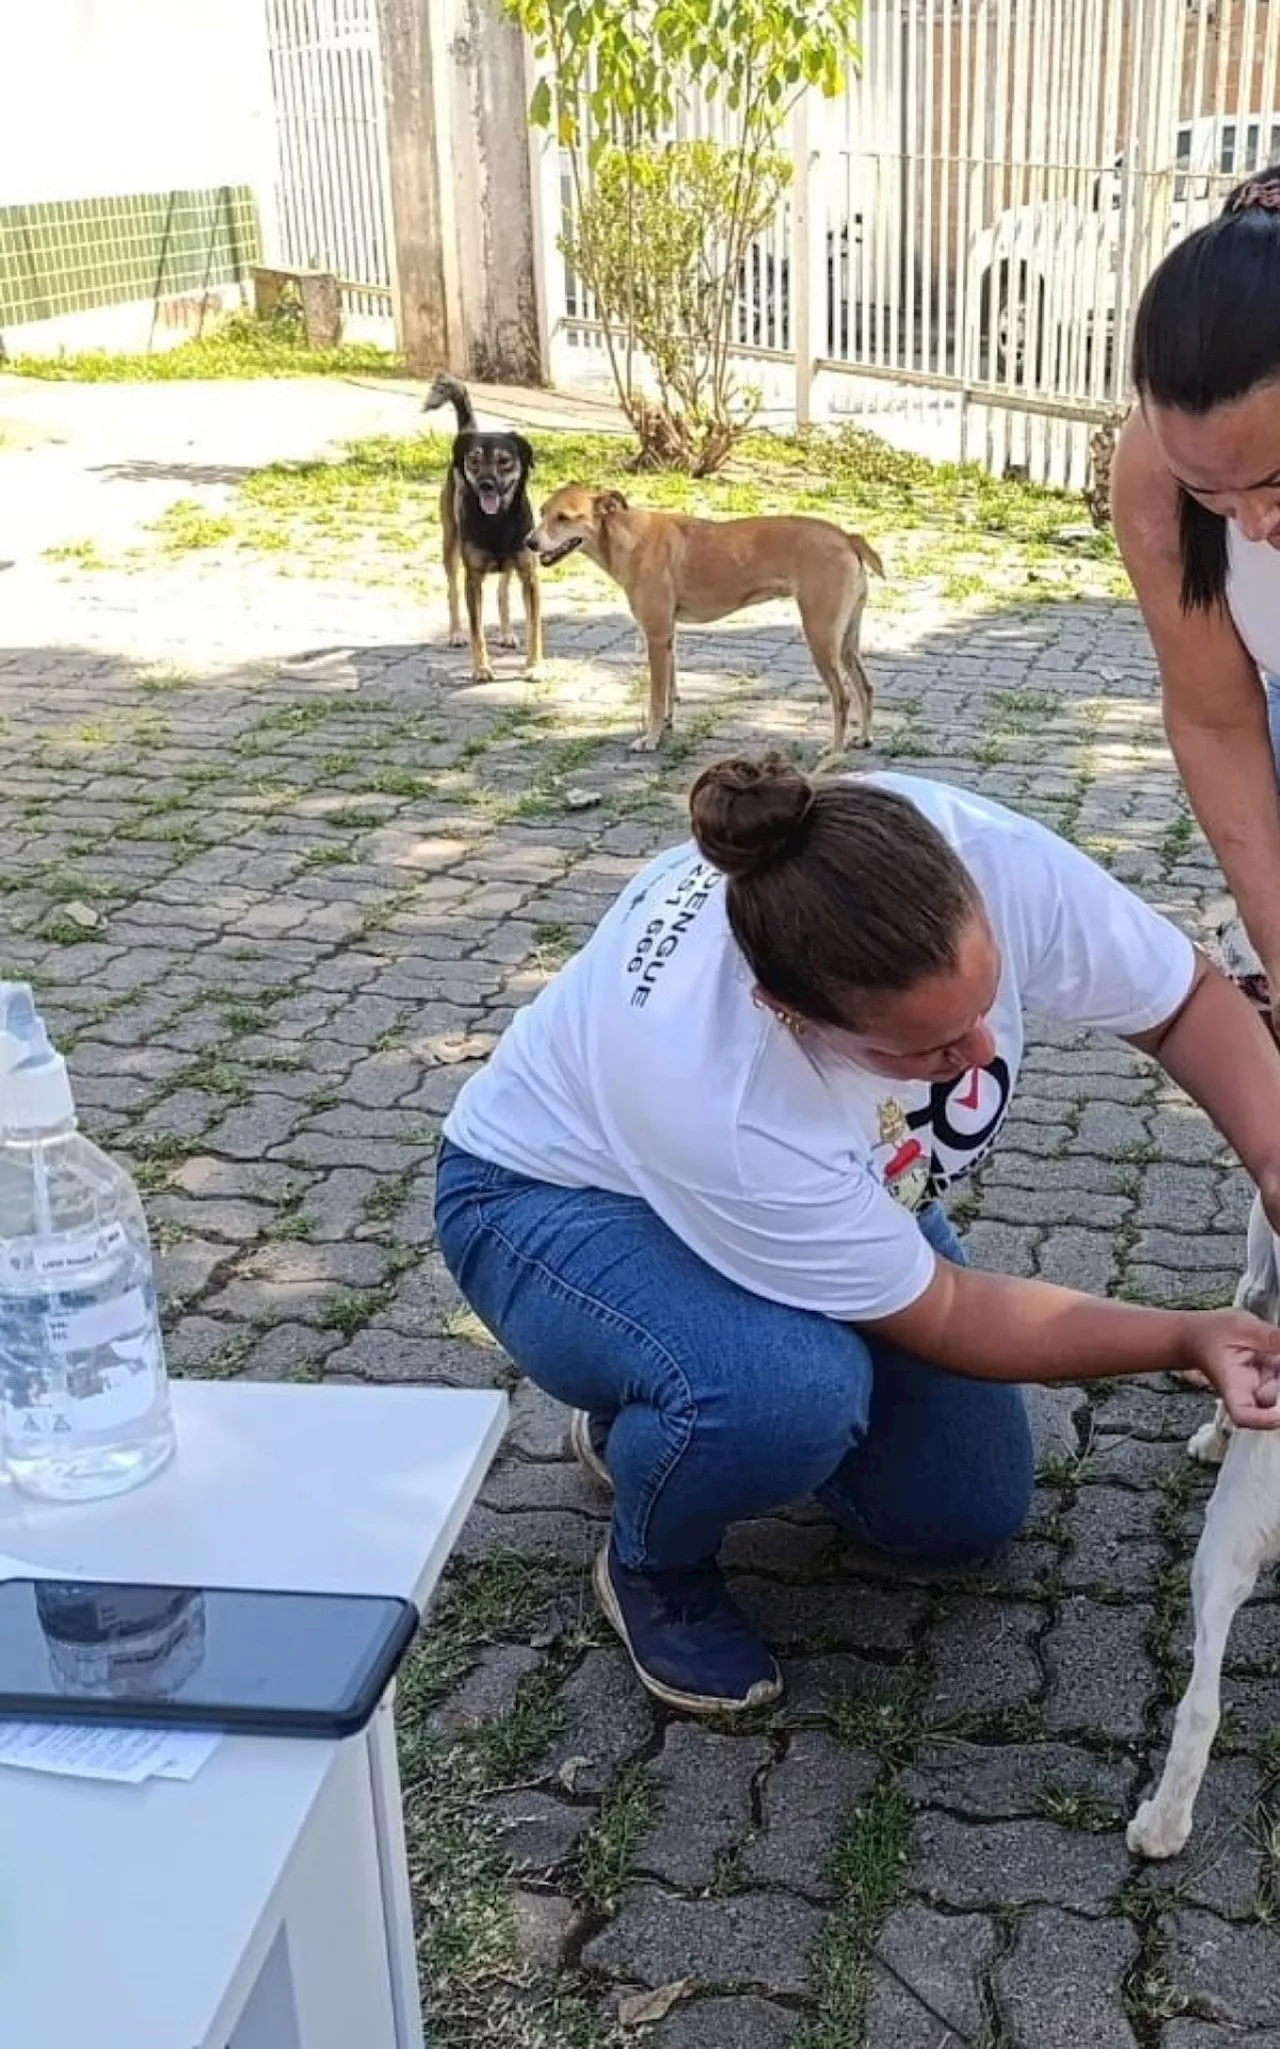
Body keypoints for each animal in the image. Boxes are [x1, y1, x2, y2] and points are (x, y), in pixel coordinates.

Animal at [419, 372, 540, 684]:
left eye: (504, 461)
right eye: (473, 461)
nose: (486, 484)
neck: (497, 521)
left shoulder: (529, 575)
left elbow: (534, 627)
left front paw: (534, 666)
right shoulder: (472, 578)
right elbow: (477, 630)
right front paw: (481, 668)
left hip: (510, 563)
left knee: (503, 593)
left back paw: (507, 633)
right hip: (449, 544)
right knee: (452, 592)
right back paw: (455, 633)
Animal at [528, 483, 876, 758]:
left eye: (563, 517)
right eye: (542, 512)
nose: (528, 542)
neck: (628, 537)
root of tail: (847, 537)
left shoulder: (655, 636)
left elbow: (656, 697)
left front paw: (651, 739)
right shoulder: (668, 636)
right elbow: (670, 689)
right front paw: (667, 726)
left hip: (821, 638)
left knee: (843, 697)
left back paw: (835, 750)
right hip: (846, 642)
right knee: (865, 687)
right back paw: (862, 738)